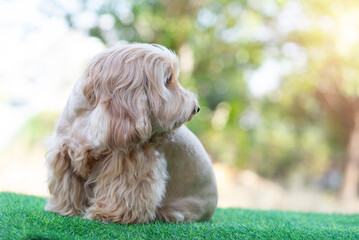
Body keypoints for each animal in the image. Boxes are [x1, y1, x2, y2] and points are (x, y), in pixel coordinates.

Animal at [45, 42, 219, 223]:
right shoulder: (64, 152)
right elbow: (69, 186)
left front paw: (107, 214)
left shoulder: (130, 163)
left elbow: (122, 191)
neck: (90, 117)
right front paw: (65, 208)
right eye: (166, 80)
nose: (196, 108)